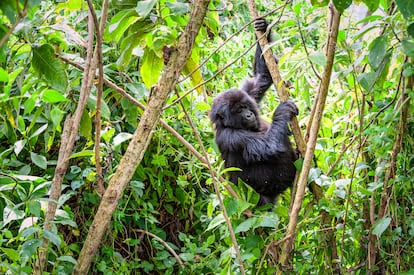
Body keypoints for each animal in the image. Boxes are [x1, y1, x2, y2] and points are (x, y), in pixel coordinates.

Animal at [210, 18, 298, 206]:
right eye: (238, 111)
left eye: (246, 106)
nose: (249, 115)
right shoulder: (230, 137)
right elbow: (270, 146)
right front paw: (282, 111)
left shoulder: (247, 94)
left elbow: (262, 77)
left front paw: (262, 28)